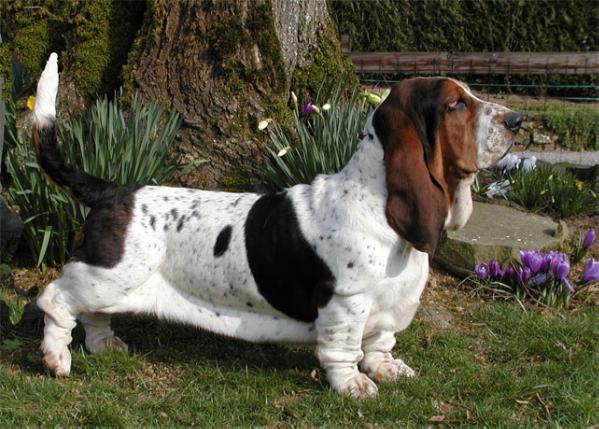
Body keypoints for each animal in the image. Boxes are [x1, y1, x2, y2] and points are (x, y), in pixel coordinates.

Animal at [34, 53, 520, 398]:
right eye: (455, 104)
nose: (517, 120)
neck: (378, 202)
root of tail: (111, 190)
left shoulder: (389, 307)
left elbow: (381, 343)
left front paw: (386, 369)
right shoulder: (346, 303)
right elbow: (343, 349)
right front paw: (354, 385)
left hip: (112, 284)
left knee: (93, 316)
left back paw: (104, 345)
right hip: (105, 276)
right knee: (54, 300)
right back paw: (56, 358)